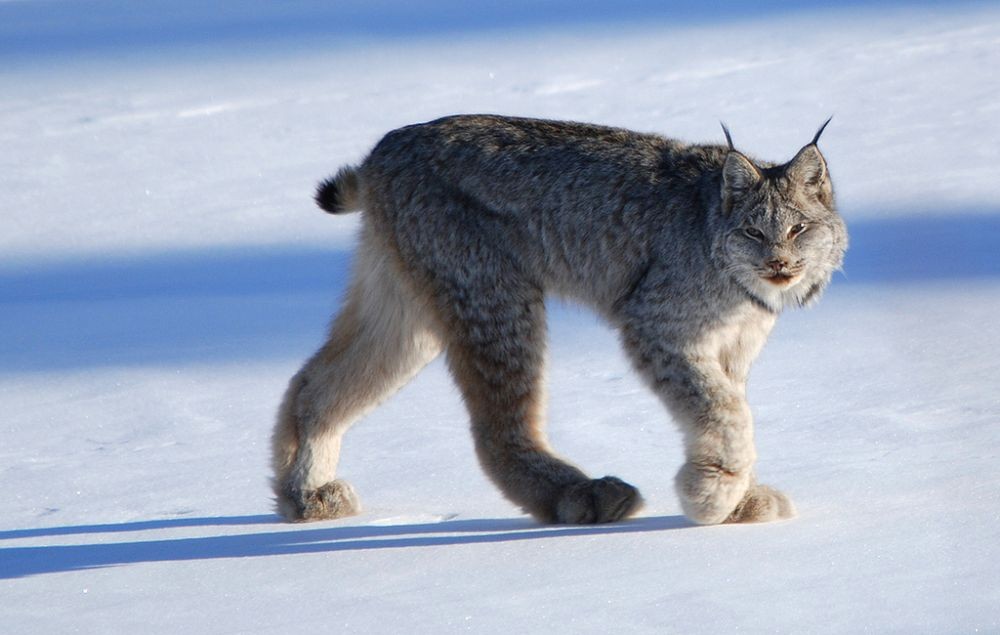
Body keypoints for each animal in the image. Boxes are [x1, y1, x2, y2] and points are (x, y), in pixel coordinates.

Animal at [272, 114, 844, 528]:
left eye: (798, 229)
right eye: (752, 231)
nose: (779, 265)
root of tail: (388, 145)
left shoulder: (730, 348)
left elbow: (726, 407)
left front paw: (738, 500)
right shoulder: (655, 324)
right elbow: (724, 410)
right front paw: (711, 494)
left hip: (412, 305)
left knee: (315, 384)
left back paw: (305, 496)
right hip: (493, 291)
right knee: (496, 430)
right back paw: (579, 495)